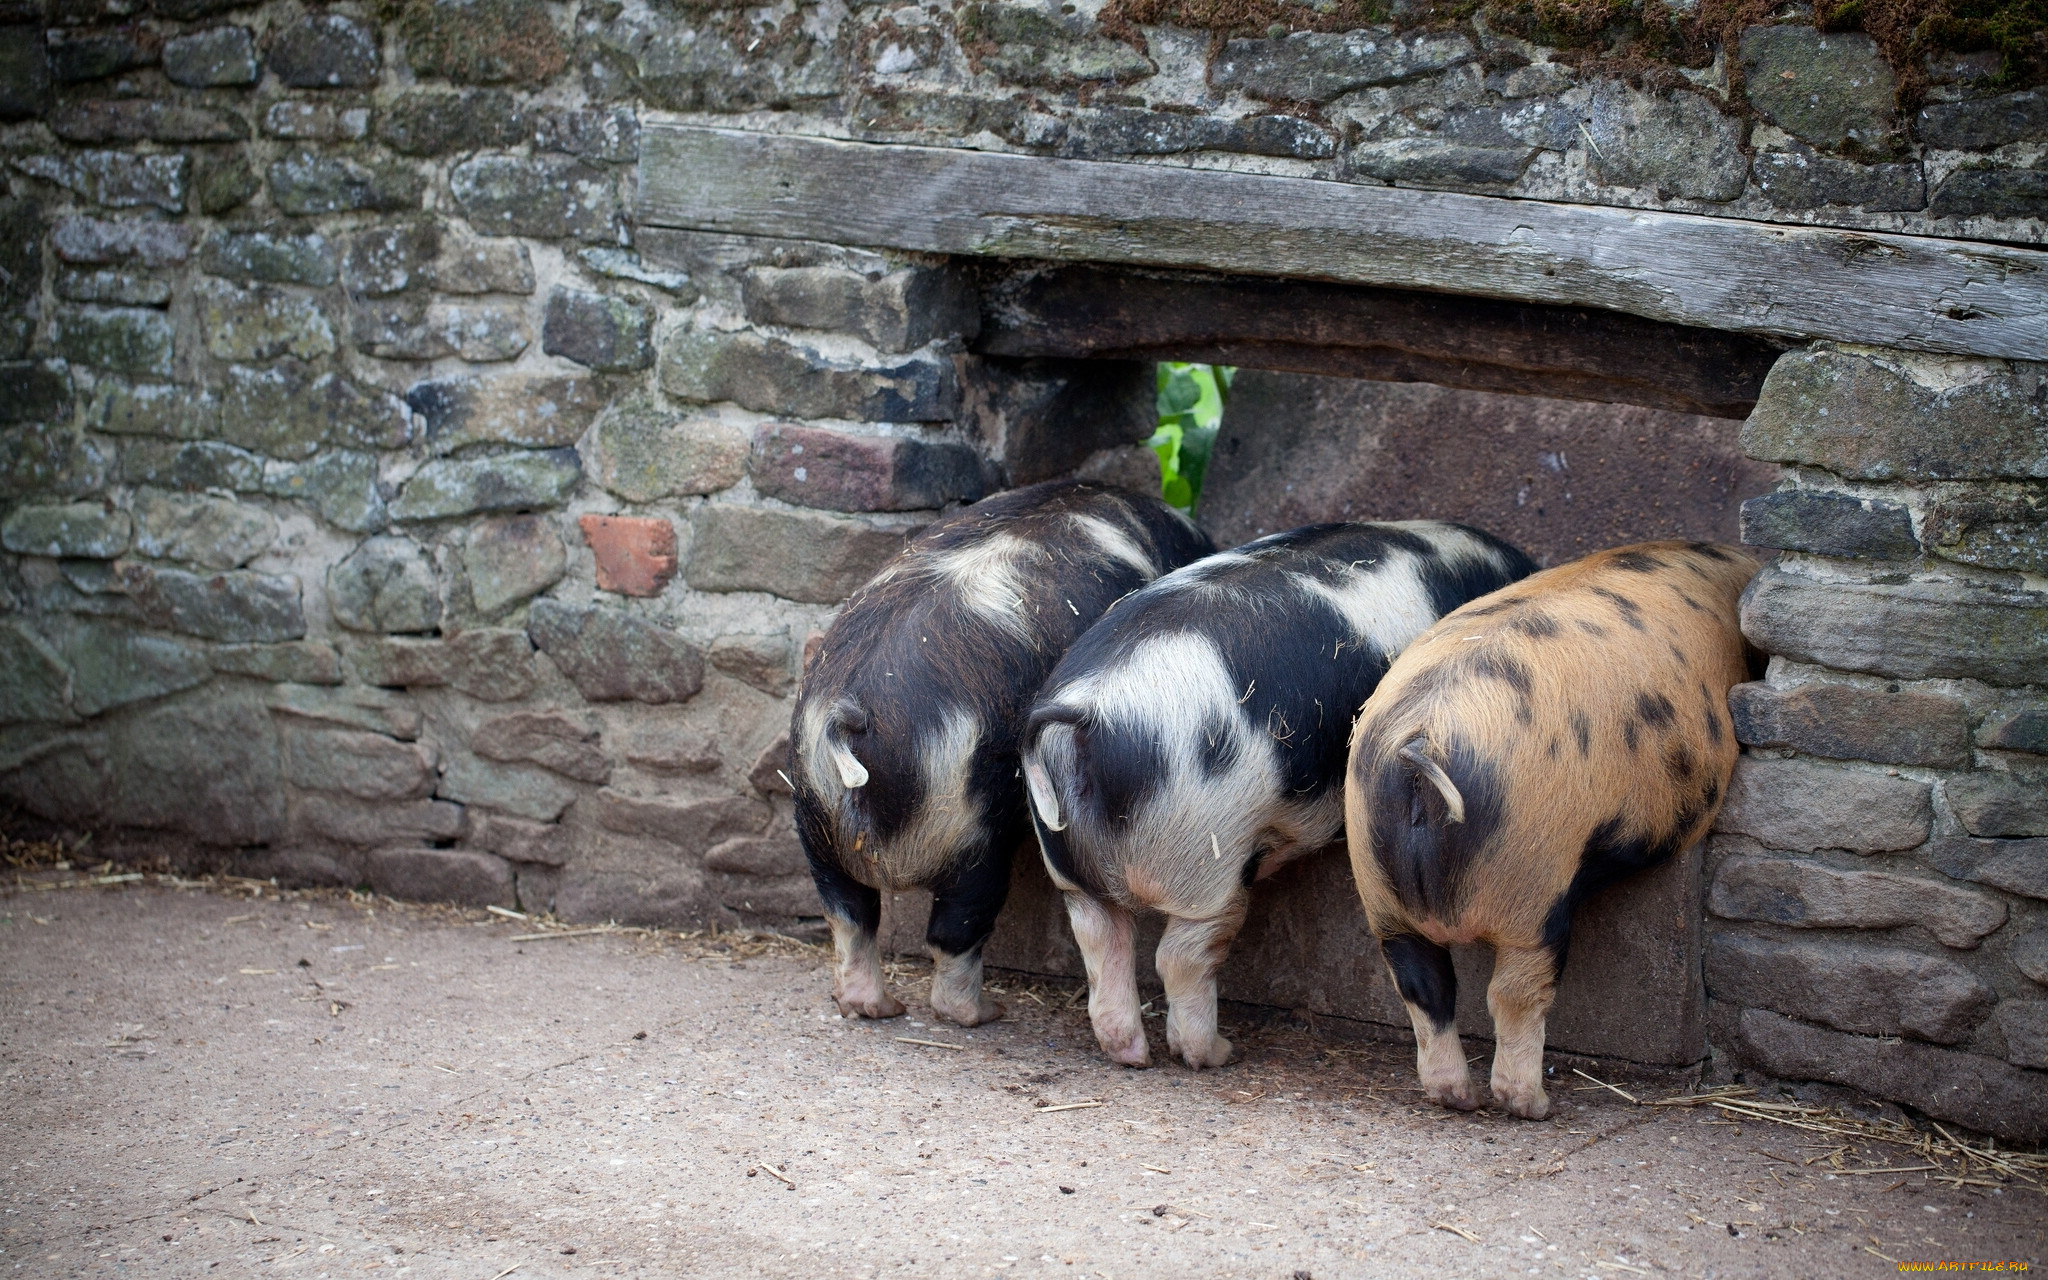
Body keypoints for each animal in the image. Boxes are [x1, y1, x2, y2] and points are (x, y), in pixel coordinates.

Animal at [782, 479, 1204, 1028]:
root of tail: (847, 716)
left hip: (814, 821)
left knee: (850, 917)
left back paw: (876, 1007)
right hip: (971, 833)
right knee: (954, 929)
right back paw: (984, 1013)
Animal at [1015, 520, 1531, 1064]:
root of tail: (1081, 717)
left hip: (1072, 868)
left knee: (1099, 939)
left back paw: (1134, 1055)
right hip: (1203, 856)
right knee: (1181, 955)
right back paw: (1216, 1054)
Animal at [1343, 540, 1761, 1114]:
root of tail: (1422, 742)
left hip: (1376, 882)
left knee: (1422, 985)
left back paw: (1459, 1098)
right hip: (1534, 880)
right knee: (1513, 992)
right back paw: (1533, 1106)